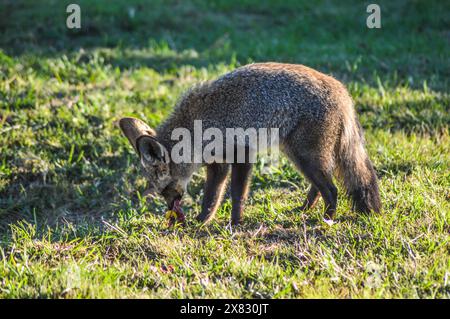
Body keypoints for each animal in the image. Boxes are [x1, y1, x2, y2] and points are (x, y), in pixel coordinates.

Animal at [118, 62, 380, 226]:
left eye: (165, 190)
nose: (172, 211)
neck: (195, 127)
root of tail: (341, 90)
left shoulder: (242, 154)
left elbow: (236, 194)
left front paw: (235, 223)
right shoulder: (218, 165)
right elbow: (211, 197)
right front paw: (202, 221)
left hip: (305, 156)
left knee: (332, 189)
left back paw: (326, 220)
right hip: (299, 156)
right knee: (320, 186)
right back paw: (304, 211)